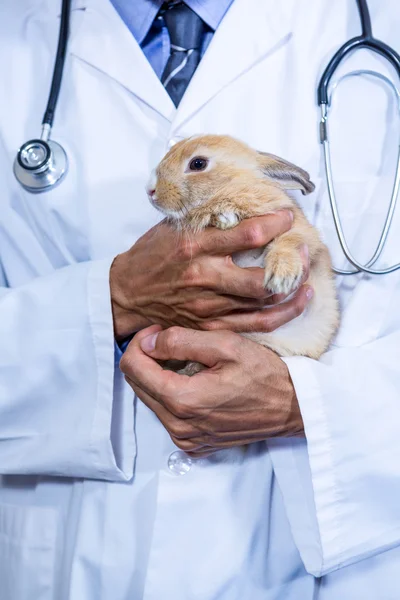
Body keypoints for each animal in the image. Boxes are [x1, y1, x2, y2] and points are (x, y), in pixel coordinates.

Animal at [145, 135, 340, 372]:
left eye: (198, 164)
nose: (150, 190)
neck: (232, 188)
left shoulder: (300, 230)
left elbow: (290, 241)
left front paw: (281, 277)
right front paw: (224, 218)